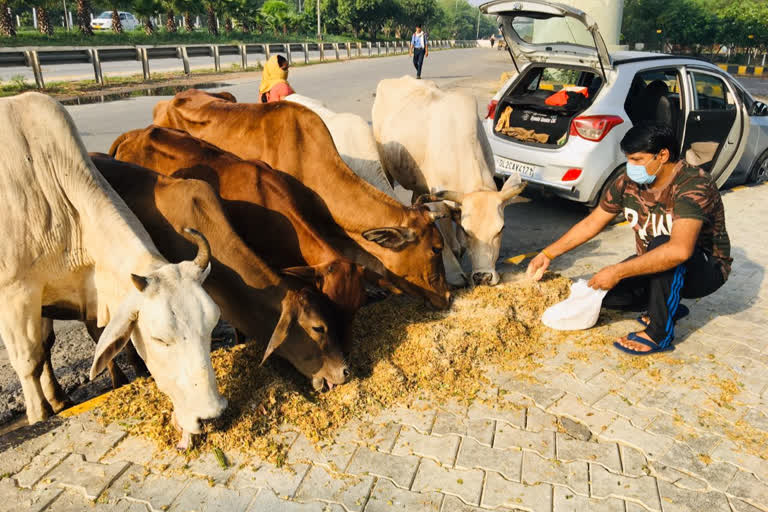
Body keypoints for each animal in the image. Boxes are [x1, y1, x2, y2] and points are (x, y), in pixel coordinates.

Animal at [0, 94, 226, 450]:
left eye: (212, 325)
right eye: (159, 339)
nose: (210, 415)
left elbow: (73, 342)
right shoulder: (15, 295)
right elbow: (28, 360)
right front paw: (38, 415)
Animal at [374, 76, 528, 286]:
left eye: (501, 229)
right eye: (466, 230)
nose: (484, 277)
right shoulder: (440, 203)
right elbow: (451, 242)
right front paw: (456, 272)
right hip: (386, 166)